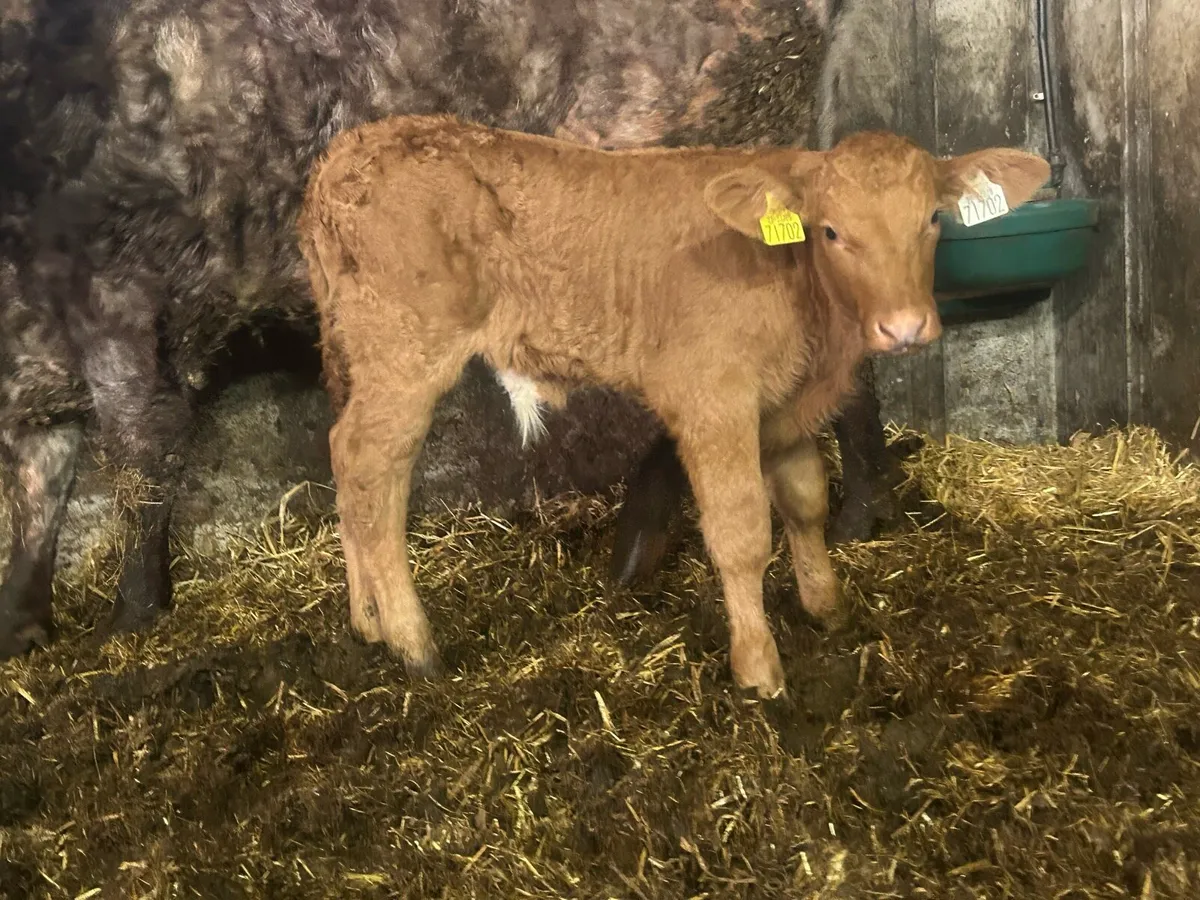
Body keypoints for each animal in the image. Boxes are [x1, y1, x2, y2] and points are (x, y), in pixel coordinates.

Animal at [297, 114, 1049, 698]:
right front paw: (759, 670)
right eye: (832, 232)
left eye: (931, 220)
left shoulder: (783, 406)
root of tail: (350, 151)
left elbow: (805, 502)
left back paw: (367, 623)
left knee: (343, 457)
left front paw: (828, 610)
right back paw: (412, 642)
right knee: (373, 467)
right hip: (405, 352)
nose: (903, 327)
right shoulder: (713, 399)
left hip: (361, 356)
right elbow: (742, 534)